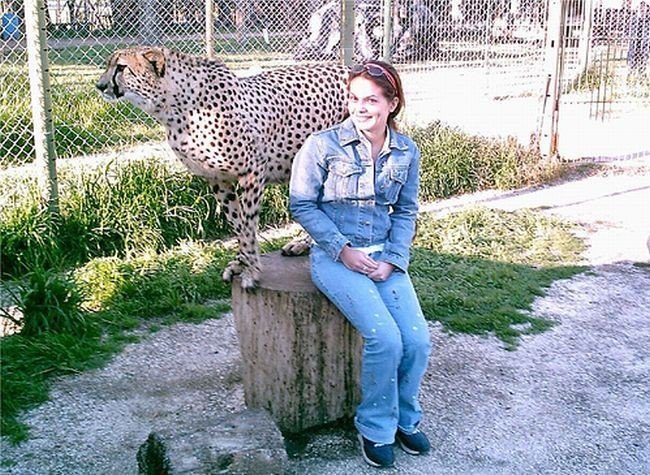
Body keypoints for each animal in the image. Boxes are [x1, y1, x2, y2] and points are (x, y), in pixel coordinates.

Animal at [95, 46, 350, 288]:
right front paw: (240, 263)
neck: (174, 107)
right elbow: (237, 223)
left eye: (121, 67)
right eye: (108, 64)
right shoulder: (217, 178)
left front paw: (251, 271)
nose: (100, 85)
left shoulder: (252, 172)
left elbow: (248, 225)